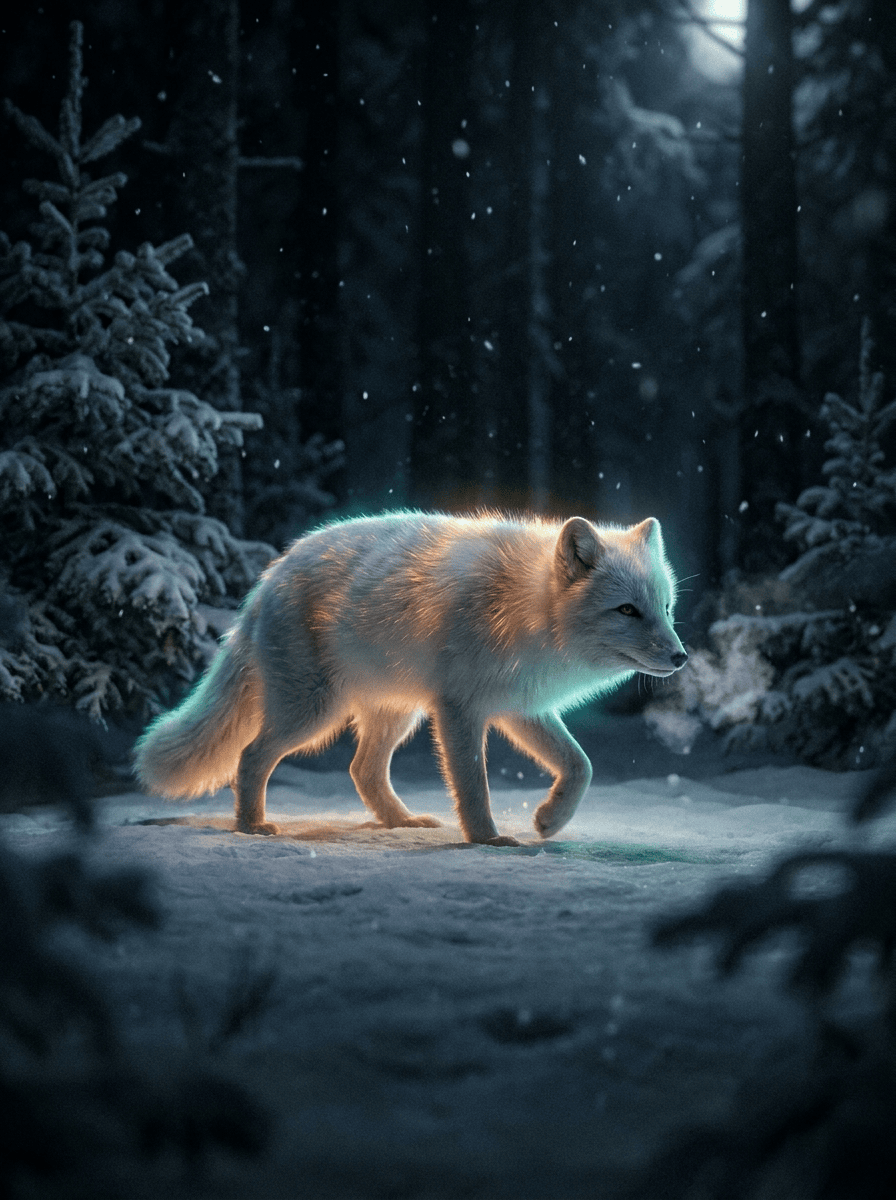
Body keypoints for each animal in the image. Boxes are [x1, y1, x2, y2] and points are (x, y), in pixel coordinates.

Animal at [134, 511, 687, 846]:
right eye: (627, 610)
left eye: (664, 608)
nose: (682, 657)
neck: (526, 608)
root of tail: (270, 575)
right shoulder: (460, 709)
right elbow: (473, 784)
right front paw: (487, 840)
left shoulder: (519, 707)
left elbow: (581, 766)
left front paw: (549, 821)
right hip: (311, 714)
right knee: (250, 758)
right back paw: (251, 827)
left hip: (394, 715)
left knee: (361, 769)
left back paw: (399, 823)